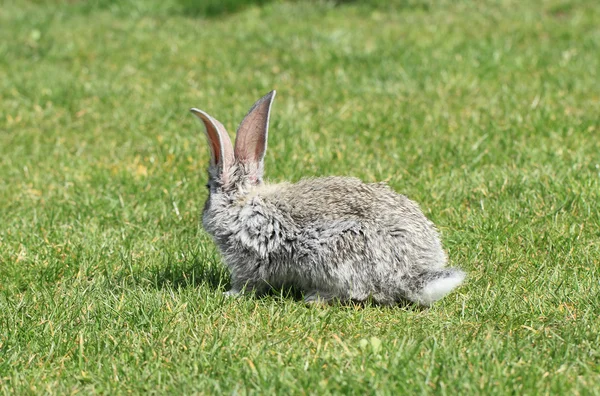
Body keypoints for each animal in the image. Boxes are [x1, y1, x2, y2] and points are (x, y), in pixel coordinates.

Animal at [191, 90, 464, 306]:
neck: (241, 204)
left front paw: (229, 294)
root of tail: (411, 275)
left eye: (207, 187)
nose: (202, 215)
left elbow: (247, 283)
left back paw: (314, 298)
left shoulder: (248, 260)